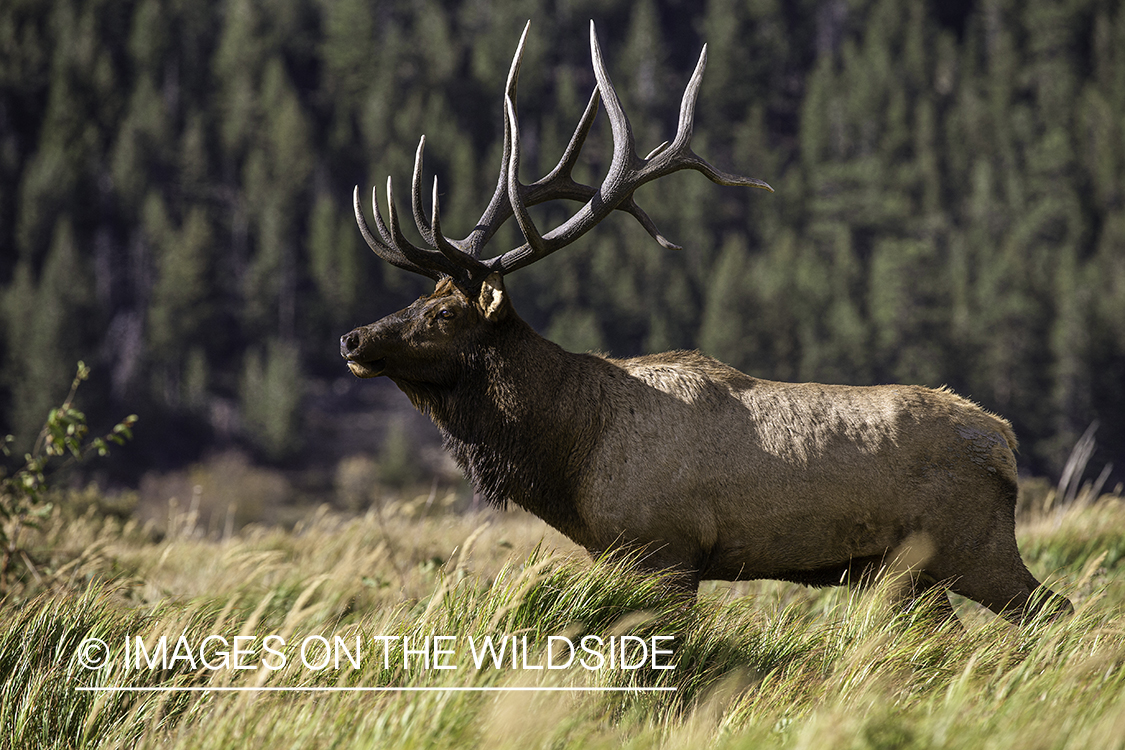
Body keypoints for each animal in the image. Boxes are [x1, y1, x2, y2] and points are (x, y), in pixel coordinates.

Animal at [337, 22, 1066, 620]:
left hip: (972, 547)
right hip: (906, 573)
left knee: (1055, 609)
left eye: (441, 313)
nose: (351, 337)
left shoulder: (666, 546)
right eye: (420, 300)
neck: (571, 454)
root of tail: (1004, 441)